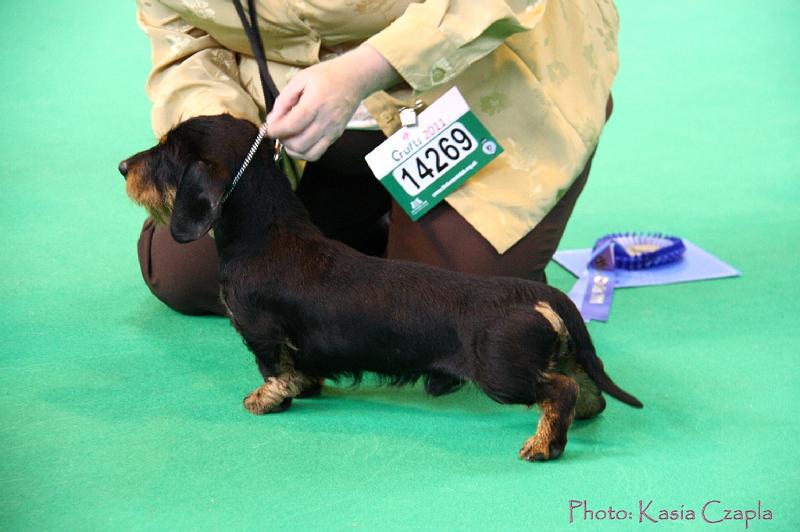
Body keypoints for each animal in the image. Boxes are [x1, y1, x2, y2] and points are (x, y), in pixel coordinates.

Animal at [120, 113, 644, 462]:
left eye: (166, 152)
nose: (124, 166)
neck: (265, 236)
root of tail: (538, 294)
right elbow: (301, 370)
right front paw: (304, 388)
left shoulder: (261, 333)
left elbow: (274, 372)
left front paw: (266, 401)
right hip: (549, 356)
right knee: (582, 383)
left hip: (501, 373)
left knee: (560, 390)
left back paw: (542, 444)